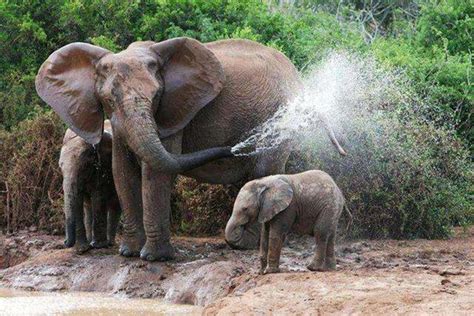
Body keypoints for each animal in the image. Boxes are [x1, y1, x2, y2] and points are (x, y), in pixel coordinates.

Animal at [59, 119, 121, 253]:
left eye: (84, 166)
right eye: (60, 167)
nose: (65, 242)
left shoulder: (102, 166)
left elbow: (98, 195)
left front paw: (99, 246)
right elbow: (77, 200)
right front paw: (82, 249)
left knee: (115, 204)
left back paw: (109, 243)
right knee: (88, 206)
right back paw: (90, 242)